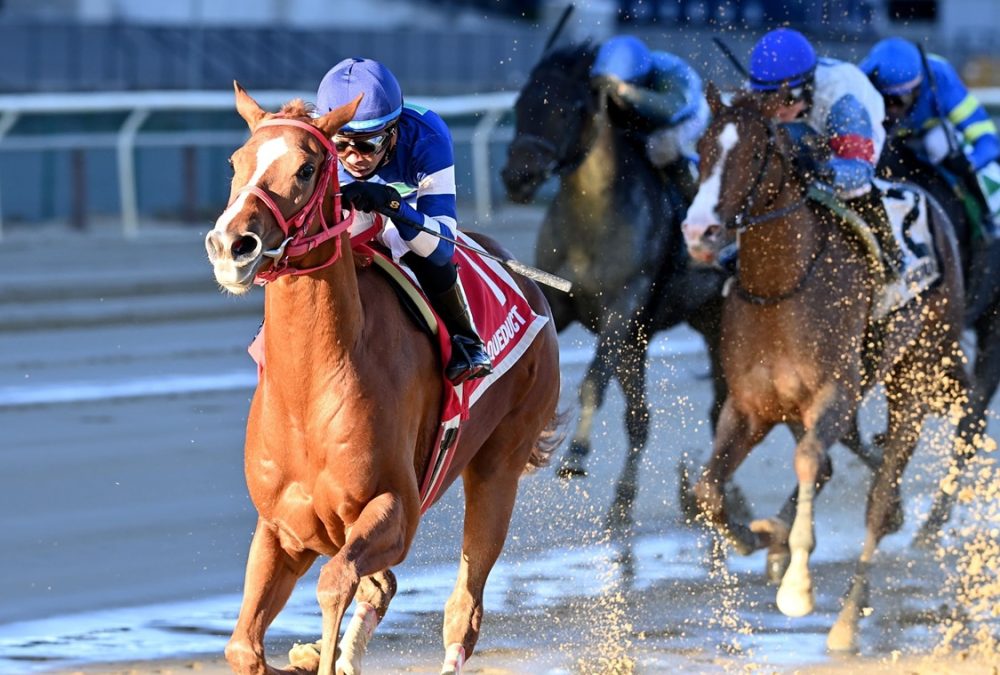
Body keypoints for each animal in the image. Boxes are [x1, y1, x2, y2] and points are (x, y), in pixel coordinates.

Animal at [203, 86, 564, 675]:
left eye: (306, 168)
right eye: (237, 161)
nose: (232, 245)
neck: (311, 389)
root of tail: (528, 285)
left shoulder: (394, 508)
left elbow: (335, 583)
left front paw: (322, 656)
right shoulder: (282, 527)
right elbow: (244, 647)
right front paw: (307, 656)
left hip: (500, 466)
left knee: (463, 610)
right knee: (383, 588)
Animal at [500, 42, 728, 528]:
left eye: (568, 108)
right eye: (521, 104)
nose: (517, 177)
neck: (594, 221)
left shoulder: (622, 309)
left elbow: (591, 381)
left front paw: (576, 454)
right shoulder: (562, 302)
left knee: (722, 404)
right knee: (645, 418)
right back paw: (627, 501)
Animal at [680, 87, 976, 652]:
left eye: (755, 152)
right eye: (701, 149)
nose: (698, 230)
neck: (780, 288)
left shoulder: (834, 396)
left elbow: (809, 462)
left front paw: (797, 585)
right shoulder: (749, 406)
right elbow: (708, 488)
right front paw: (753, 536)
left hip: (920, 369)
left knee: (883, 496)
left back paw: (847, 617)